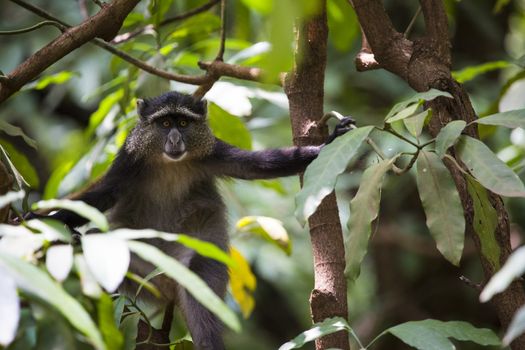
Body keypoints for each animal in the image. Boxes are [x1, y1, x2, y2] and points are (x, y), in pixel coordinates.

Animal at [41, 91, 352, 348]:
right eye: (165, 124)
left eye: (183, 123)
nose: (175, 139)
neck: (169, 164)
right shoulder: (129, 159)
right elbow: (102, 195)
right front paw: (40, 219)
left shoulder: (214, 152)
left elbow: (257, 165)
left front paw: (328, 144)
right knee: (97, 240)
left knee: (200, 290)